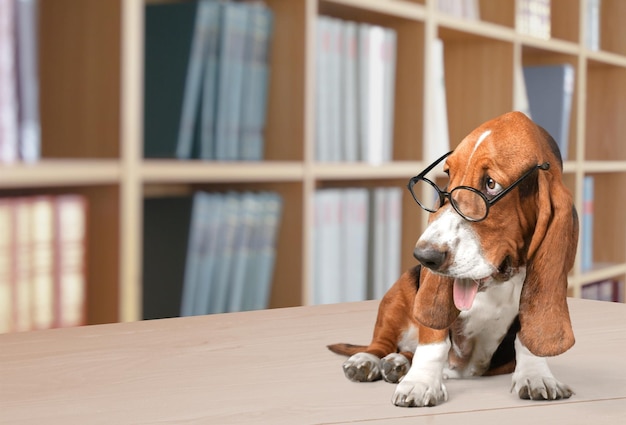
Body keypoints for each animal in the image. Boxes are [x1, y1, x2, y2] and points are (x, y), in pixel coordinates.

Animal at [326, 111, 576, 406]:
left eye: (491, 184)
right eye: (447, 175)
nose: (424, 256)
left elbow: (525, 338)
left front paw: (536, 375)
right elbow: (433, 342)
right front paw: (421, 383)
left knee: (406, 352)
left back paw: (399, 363)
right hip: (398, 293)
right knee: (382, 343)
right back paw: (370, 360)